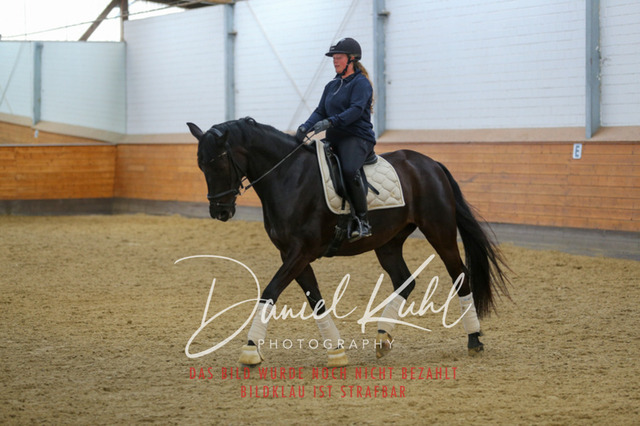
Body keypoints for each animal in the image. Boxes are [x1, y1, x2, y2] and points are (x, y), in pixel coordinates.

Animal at [187, 117, 510, 367]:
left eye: (218, 163)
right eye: (200, 165)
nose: (220, 212)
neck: (288, 177)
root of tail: (431, 164)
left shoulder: (300, 252)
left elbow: (270, 291)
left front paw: (251, 349)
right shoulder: (291, 254)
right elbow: (315, 300)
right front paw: (336, 352)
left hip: (439, 231)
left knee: (460, 276)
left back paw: (474, 340)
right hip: (388, 242)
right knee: (405, 281)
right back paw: (383, 338)